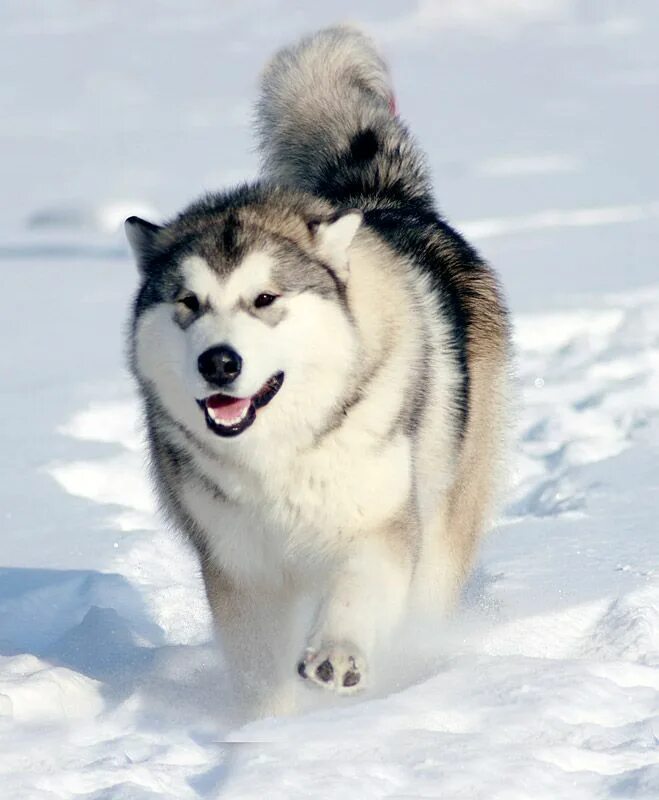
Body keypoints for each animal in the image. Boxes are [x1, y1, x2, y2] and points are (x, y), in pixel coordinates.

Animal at [126, 25, 512, 716]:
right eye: (188, 303)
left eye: (265, 298)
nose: (218, 361)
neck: (278, 456)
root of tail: (382, 196)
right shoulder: (240, 566)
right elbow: (259, 666)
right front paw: (268, 727)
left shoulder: (379, 526)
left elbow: (356, 592)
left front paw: (336, 656)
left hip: (444, 518)